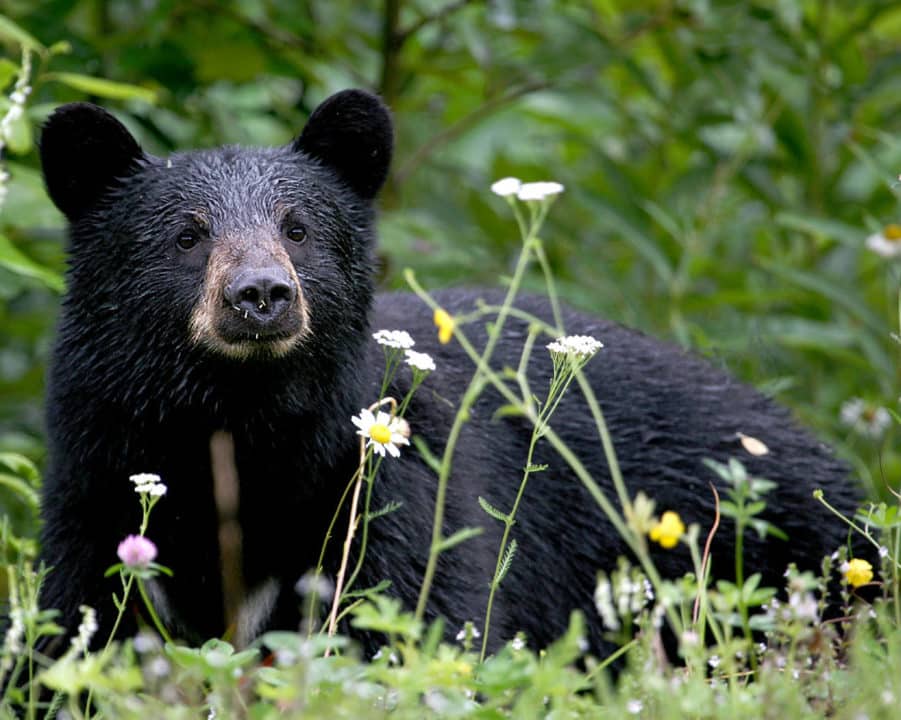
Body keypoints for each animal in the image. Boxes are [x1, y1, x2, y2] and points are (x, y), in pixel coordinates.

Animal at [35, 88, 860, 660]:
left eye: (297, 229)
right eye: (187, 236)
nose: (261, 294)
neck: (241, 425)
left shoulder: (387, 483)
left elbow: (415, 612)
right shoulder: (98, 474)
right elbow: (77, 623)